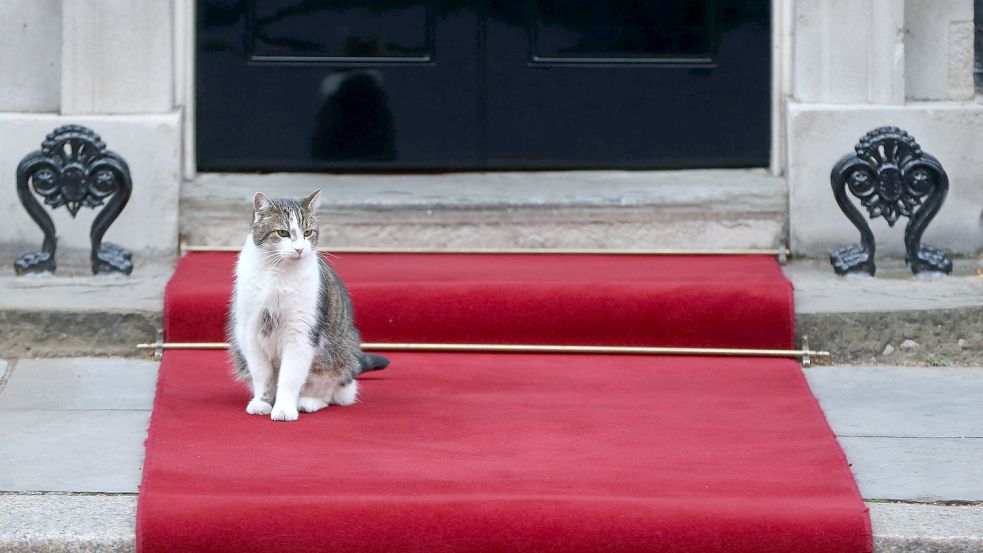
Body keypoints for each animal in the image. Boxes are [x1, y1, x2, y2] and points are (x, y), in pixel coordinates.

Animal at [228, 188, 388, 420]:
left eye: (308, 232)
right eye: (283, 233)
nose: (299, 249)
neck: (277, 272)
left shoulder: (300, 331)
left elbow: (290, 376)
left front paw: (284, 408)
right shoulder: (249, 330)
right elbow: (262, 375)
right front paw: (262, 402)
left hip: (336, 356)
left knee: (332, 393)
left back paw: (308, 401)